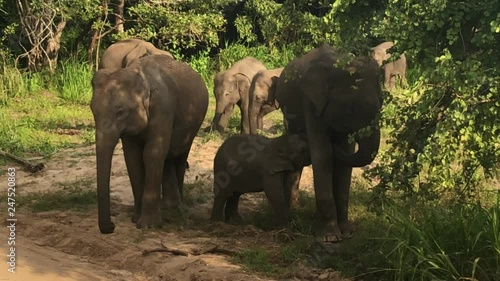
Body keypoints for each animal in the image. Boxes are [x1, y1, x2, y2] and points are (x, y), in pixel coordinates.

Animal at [90, 53, 207, 233]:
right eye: (92, 110)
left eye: (120, 112)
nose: (111, 226)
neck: (138, 73)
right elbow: (132, 157)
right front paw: (135, 219)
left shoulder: (163, 109)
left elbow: (152, 154)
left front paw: (147, 225)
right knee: (167, 158)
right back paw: (167, 206)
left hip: (193, 124)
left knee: (180, 156)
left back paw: (177, 207)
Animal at [274, 43, 382, 241]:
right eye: (350, 108)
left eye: (382, 103)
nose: (336, 140)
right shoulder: (310, 102)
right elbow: (323, 154)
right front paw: (330, 237)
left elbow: (344, 163)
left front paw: (346, 232)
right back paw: (293, 211)